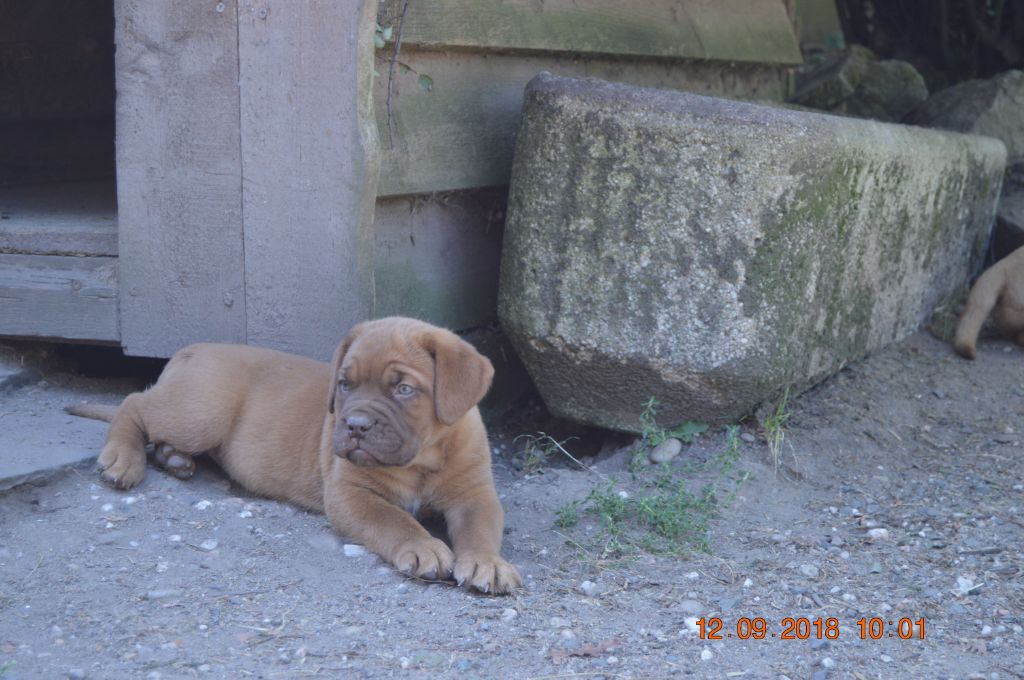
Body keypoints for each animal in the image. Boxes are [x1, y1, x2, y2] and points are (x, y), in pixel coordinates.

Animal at [68, 317, 522, 594]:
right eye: (344, 384)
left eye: (404, 389)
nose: (355, 425)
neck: (422, 459)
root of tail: (188, 349)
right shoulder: (350, 494)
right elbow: (394, 520)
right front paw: (424, 545)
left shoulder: (475, 495)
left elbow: (480, 529)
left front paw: (485, 563)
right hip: (200, 411)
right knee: (134, 404)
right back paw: (123, 459)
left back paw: (174, 459)